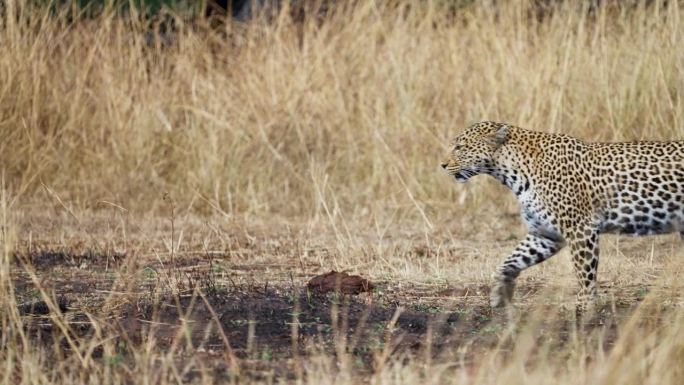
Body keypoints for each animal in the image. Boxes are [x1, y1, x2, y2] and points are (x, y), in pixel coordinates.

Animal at [440, 120, 684, 308]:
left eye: (460, 147)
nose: (442, 165)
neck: (511, 173)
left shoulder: (580, 229)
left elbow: (585, 274)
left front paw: (584, 309)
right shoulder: (545, 234)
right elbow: (510, 261)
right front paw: (500, 294)